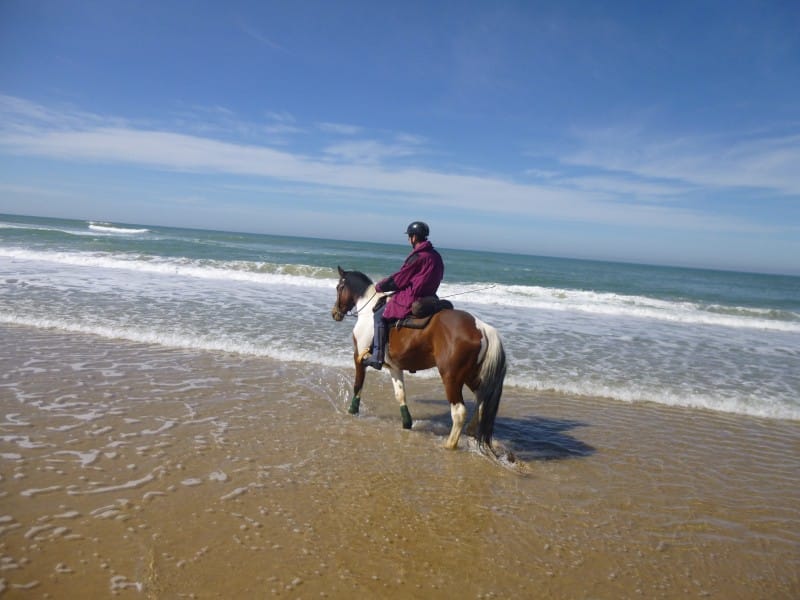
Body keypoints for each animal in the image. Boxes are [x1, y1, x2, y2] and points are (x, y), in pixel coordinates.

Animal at [332, 264, 506, 452]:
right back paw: (472, 432)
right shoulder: (394, 367)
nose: (335, 313)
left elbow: (358, 386)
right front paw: (407, 424)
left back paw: (449, 444)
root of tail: (482, 327)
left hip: (451, 377)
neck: (369, 309)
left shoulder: (359, 358)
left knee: (459, 411)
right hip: (471, 375)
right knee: (482, 400)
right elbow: (400, 395)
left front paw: (352, 411)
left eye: (339, 287)